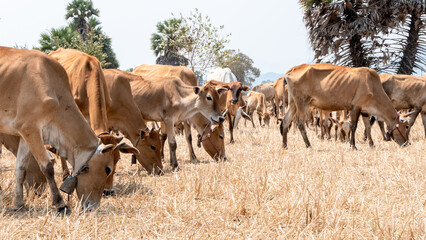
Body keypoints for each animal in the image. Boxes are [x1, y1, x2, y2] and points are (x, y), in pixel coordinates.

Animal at [0, 47, 136, 213]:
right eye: (107, 169)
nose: (93, 206)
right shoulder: (30, 129)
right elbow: (47, 167)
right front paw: (60, 204)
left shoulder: (26, 134)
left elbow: (21, 169)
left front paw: (19, 204)